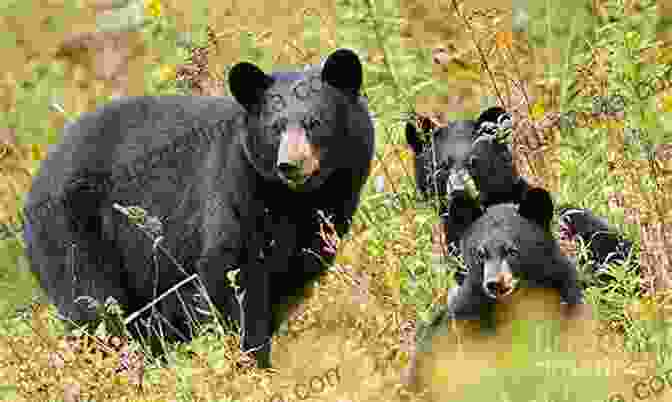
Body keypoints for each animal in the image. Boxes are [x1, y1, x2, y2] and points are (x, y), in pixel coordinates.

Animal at [21, 48, 376, 368]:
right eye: (275, 127)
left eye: (315, 122)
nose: (290, 164)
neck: (294, 199)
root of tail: (34, 184)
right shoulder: (235, 189)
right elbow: (230, 274)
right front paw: (251, 361)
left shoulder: (329, 211)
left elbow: (293, 274)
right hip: (72, 233)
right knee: (93, 303)